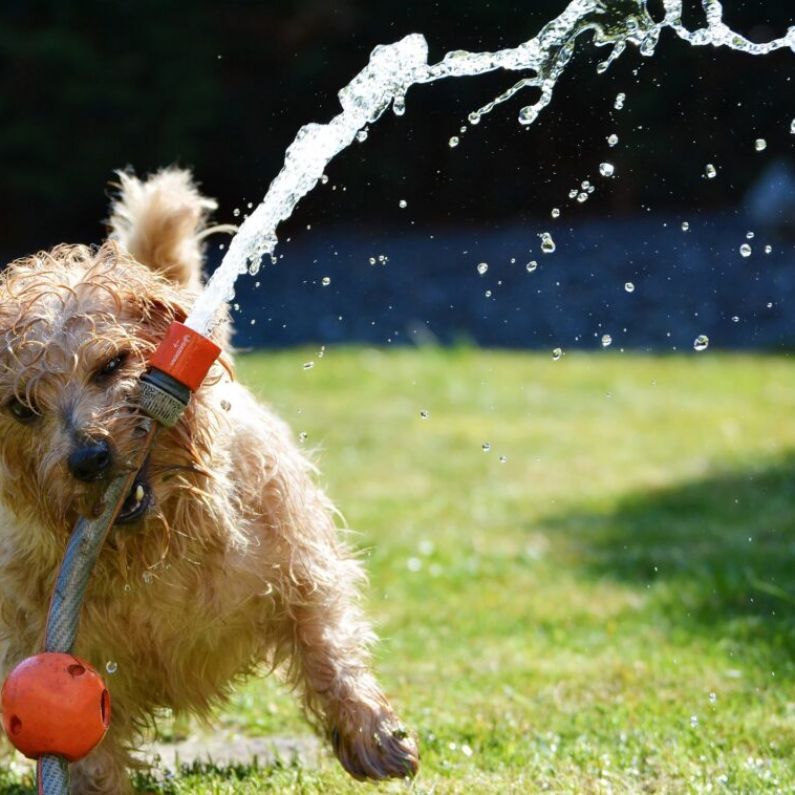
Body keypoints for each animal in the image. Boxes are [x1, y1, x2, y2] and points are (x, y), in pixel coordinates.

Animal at [0, 171, 422, 792]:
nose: (90, 457)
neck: (158, 546)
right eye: (21, 407)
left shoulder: (301, 565)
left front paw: (372, 732)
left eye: (113, 364)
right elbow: (91, 749)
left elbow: (327, 643)